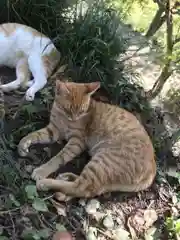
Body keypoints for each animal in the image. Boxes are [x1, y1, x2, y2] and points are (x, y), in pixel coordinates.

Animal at [17, 80, 156, 201]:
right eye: (68, 108)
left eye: (82, 110)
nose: (74, 118)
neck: (64, 117)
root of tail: (152, 172)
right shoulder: (54, 130)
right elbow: (34, 135)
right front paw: (23, 144)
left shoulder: (76, 141)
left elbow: (58, 158)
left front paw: (42, 171)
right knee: (89, 187)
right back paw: (66, 177)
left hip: (102, 161)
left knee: (83, 188)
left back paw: (46, 183)